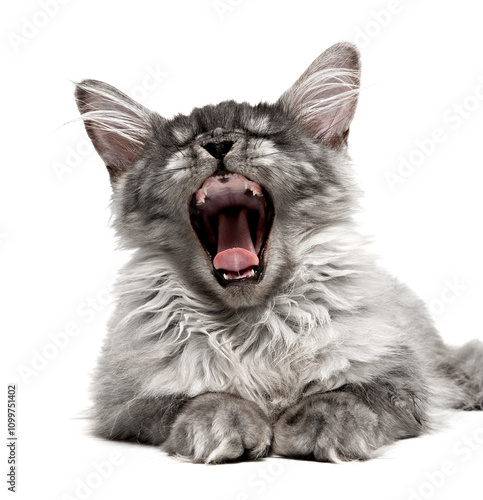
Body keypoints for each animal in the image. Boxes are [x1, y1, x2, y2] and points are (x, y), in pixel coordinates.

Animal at [73, 43, 482, 464]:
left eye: (259, 133)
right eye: (181, 144)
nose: (218, 144)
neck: (250, 325)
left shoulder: (405, 381)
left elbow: (347, 396)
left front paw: (322, 427)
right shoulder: (125, 401)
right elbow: (201, 398)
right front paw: (225, 426)